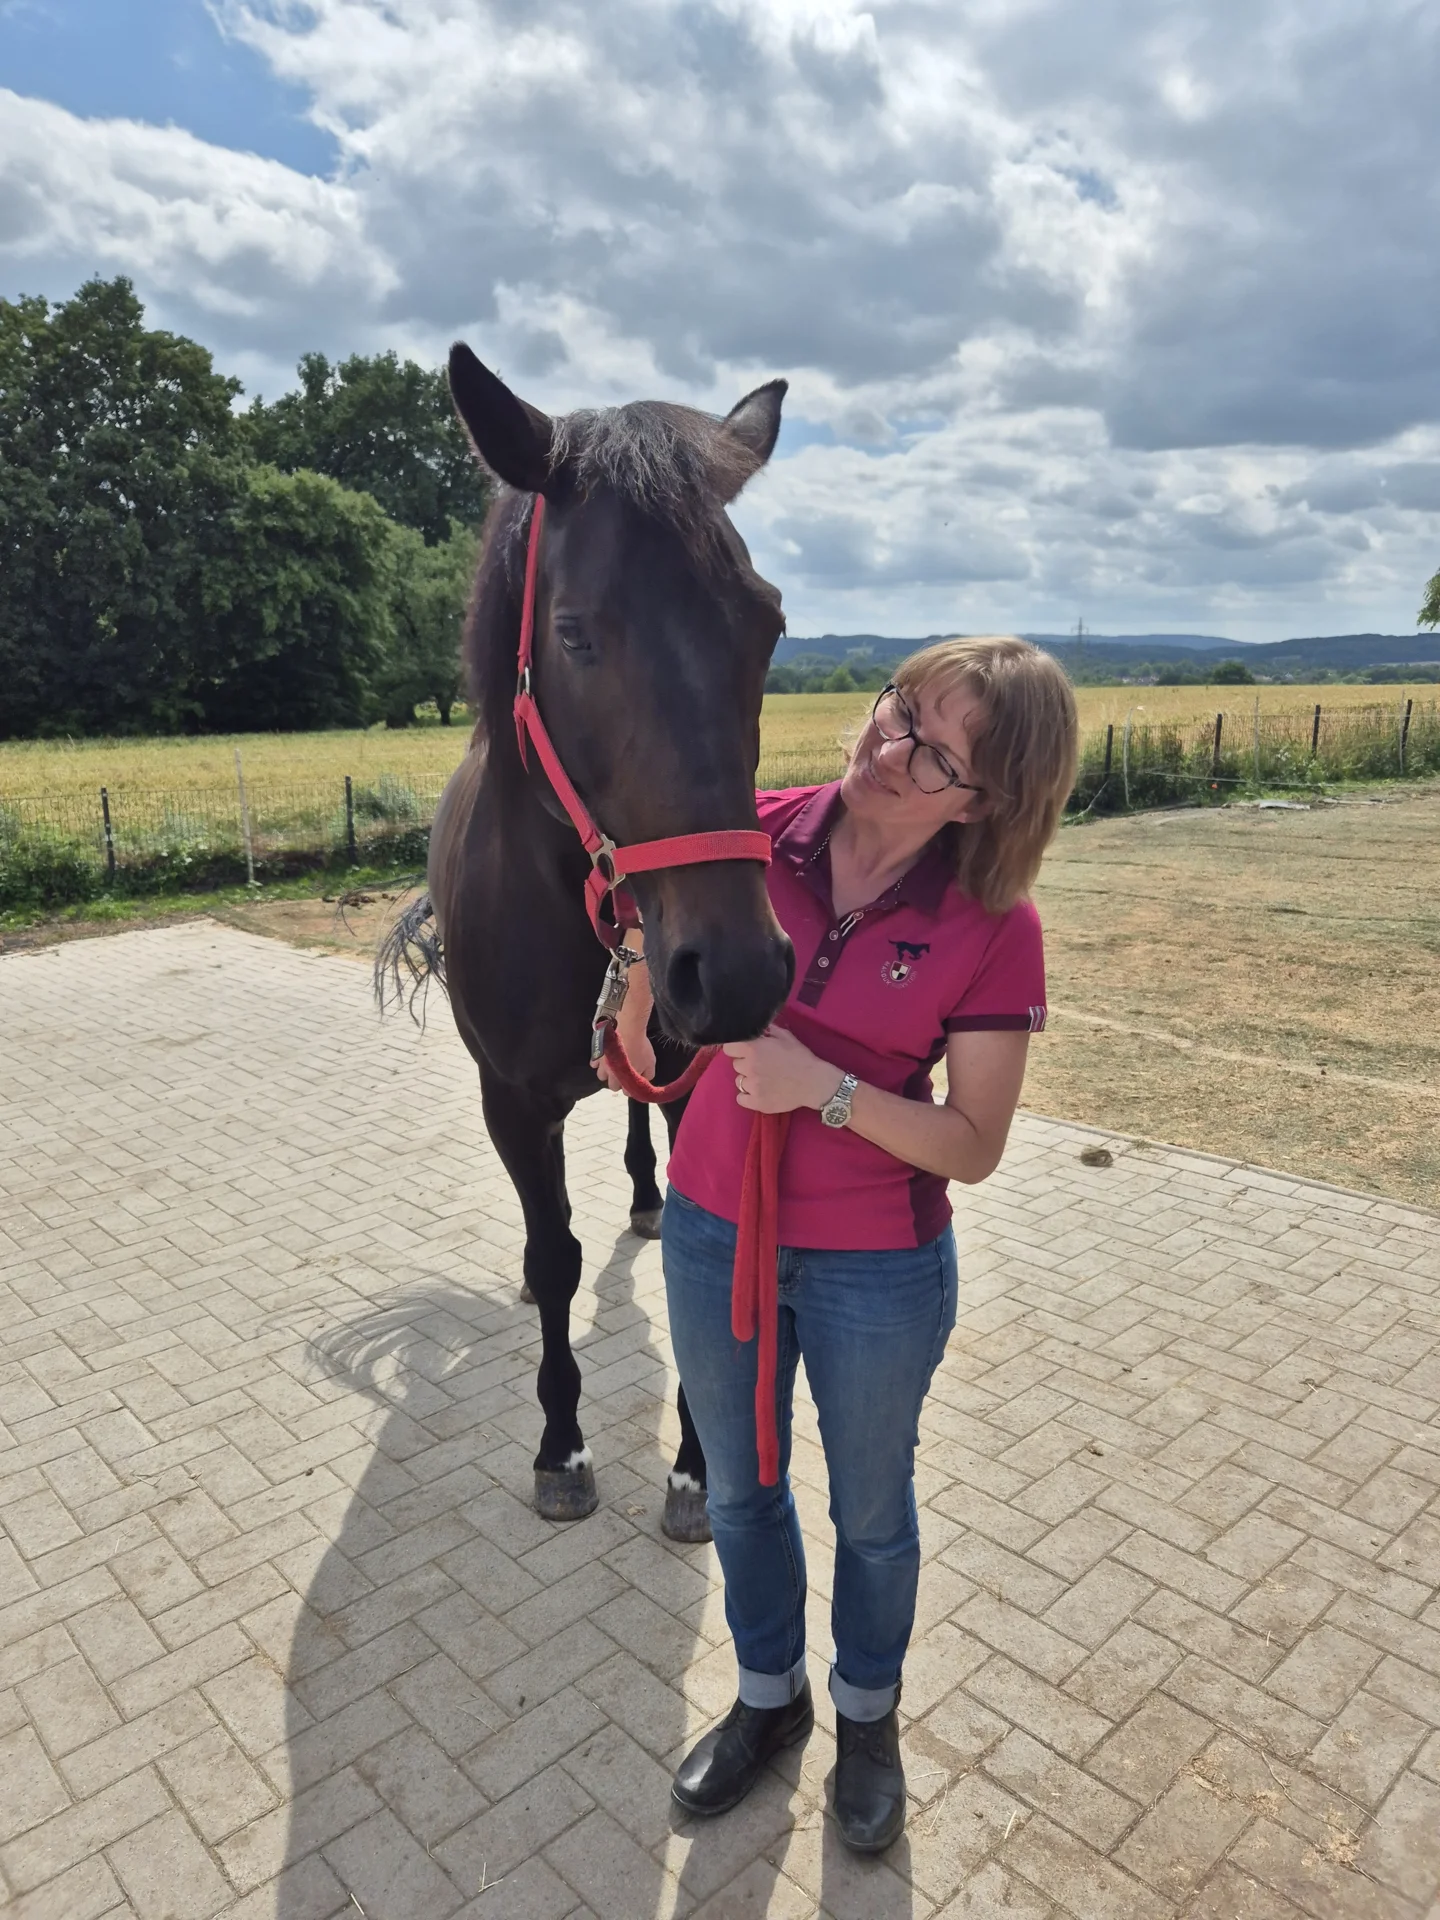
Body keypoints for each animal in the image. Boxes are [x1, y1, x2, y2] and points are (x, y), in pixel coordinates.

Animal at [378, 345, 796, 1539]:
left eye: (769, 625)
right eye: (573, 633)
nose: (735, 973)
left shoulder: (701, 1080)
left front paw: (699, 1468)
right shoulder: (511, 1102)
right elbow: (556, 1255)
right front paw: (560, 1446)